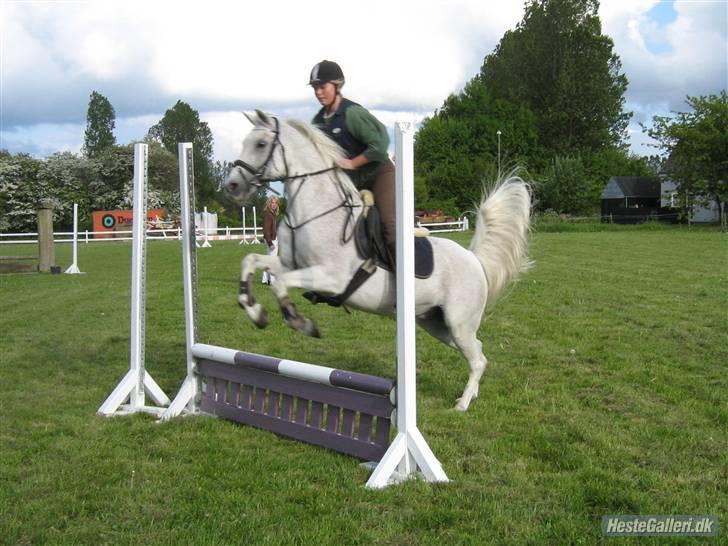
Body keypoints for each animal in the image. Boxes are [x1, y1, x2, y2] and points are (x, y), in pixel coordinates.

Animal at [222, 110, 528, 408]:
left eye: (261, 144)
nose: (232, 186)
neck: (313, 212)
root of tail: (473, 259)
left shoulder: (329, 278)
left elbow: (279, 283)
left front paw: (300, 322)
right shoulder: (289, 264)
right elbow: (250, 261)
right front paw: (255, 312)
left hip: (458, 322)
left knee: (477, 359)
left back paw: (462, 405)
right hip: (437, 324)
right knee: (479, 351)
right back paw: (471, 395)